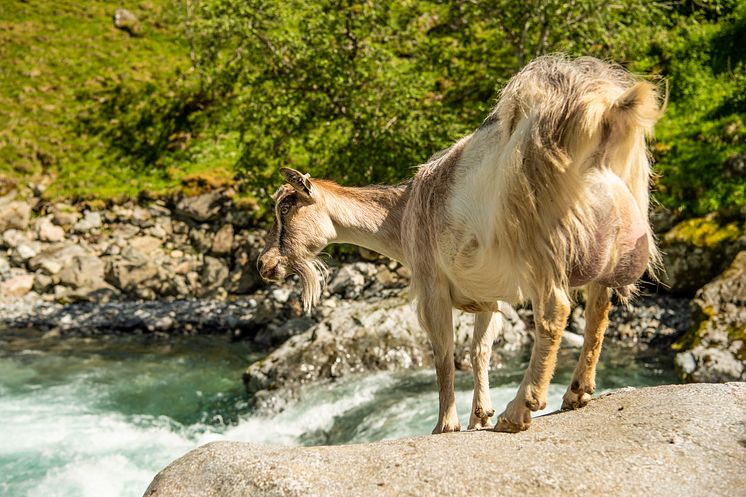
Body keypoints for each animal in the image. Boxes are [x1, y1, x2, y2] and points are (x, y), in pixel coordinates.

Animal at [254, 56, 656, 432]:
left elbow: (443, 355)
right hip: (614, 234)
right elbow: (479, 351)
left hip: (539, 235)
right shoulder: (488, 299)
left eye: (286, 206)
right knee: (599, 305)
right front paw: (479, 415)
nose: (263, 264)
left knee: (554, 309)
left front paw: (446, 425)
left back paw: (518, 410)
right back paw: (576, 392)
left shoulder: (432, 285)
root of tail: (603, 111)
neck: (404, 212)